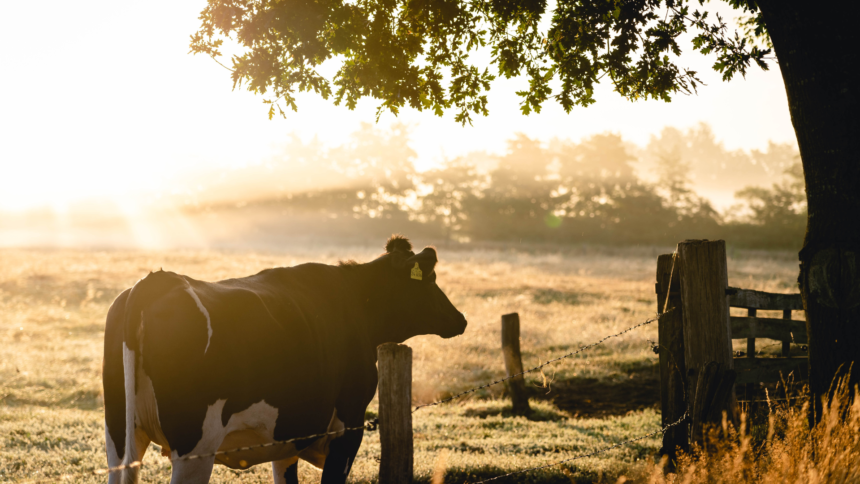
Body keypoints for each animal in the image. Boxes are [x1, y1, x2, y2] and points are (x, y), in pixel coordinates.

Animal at [103, 233, 466, 480]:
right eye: (430, 279)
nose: (460, 319)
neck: (355, 303)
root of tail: (157, 281)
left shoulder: (289, 434)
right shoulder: (348, 426)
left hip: (120, 437)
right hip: (195, 446)